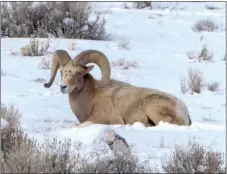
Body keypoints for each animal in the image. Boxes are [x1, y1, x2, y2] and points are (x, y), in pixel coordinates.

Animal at [44, 49, 192, 127]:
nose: (63, 87)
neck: (91, 99)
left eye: (79, 73)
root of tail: (183, 109)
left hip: (153, 108)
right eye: (62, 72)